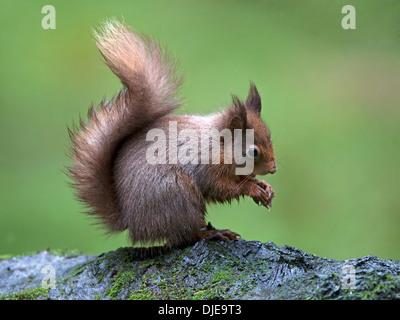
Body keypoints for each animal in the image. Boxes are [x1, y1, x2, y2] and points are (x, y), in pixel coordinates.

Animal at [67, 20, 276, 252]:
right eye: (253, 151)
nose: (273, 169)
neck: (218, 144)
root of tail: (133, 223)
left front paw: (263, 186)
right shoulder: (206, 167)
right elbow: (222, 188)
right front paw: (252, 189)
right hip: (177, 195)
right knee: (184, 236)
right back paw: (212, 234)